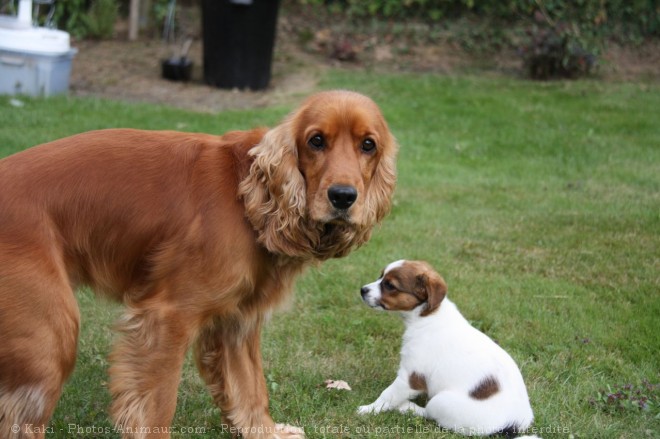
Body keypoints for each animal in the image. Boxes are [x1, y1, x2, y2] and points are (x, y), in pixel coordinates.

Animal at [358, 262, 540, 436]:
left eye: (389, 285)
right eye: (381, 276)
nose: (362, 290)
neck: (427, 316)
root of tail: (515, 423)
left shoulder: (410, 377)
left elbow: (387, 395)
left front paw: (369, 409)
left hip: (441, 401)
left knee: (429, 414)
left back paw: (406, 407)